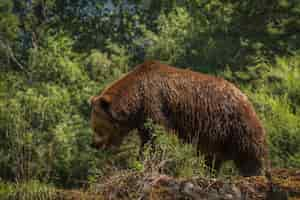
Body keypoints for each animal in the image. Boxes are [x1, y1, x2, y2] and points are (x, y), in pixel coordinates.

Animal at [90, 60, 268, 176]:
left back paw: (255, 173)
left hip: (236, 124)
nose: (94, 144)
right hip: (217, 137)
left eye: (98, 128)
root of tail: (245, 97)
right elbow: (147, 140)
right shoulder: (143, 118)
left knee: (249, 152)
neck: (136, 99)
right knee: (212, 158)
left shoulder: (155, 104)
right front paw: (140, 162)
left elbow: (158, 138)